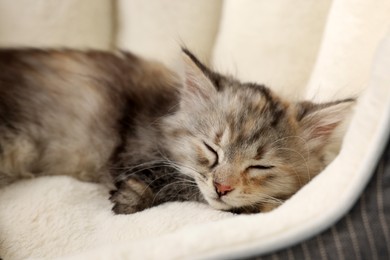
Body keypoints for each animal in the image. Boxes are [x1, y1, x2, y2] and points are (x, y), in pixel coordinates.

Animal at [0, 47, 354, 214]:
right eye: (212, 150)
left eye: (260, 166)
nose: (222, 188)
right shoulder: (131, 154)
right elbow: (183, 184)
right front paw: (130, 198)